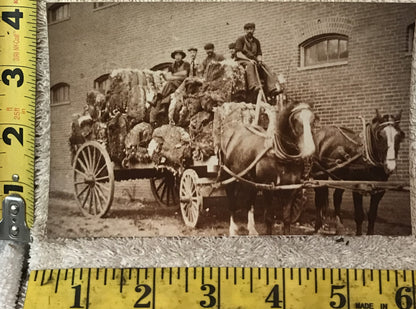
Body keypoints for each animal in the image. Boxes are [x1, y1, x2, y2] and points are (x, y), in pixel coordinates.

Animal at [219, 100, 316, 233]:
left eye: (313, 119)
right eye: (296, 119)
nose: (310, 149)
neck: (280, 157)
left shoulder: (291, 189)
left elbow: (286, 218)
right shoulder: (267, 187)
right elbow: (269, 218)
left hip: (251, 182)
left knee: (249, 203)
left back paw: (252, 229)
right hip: (230, 177)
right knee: (232, 203)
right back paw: (233, 230)